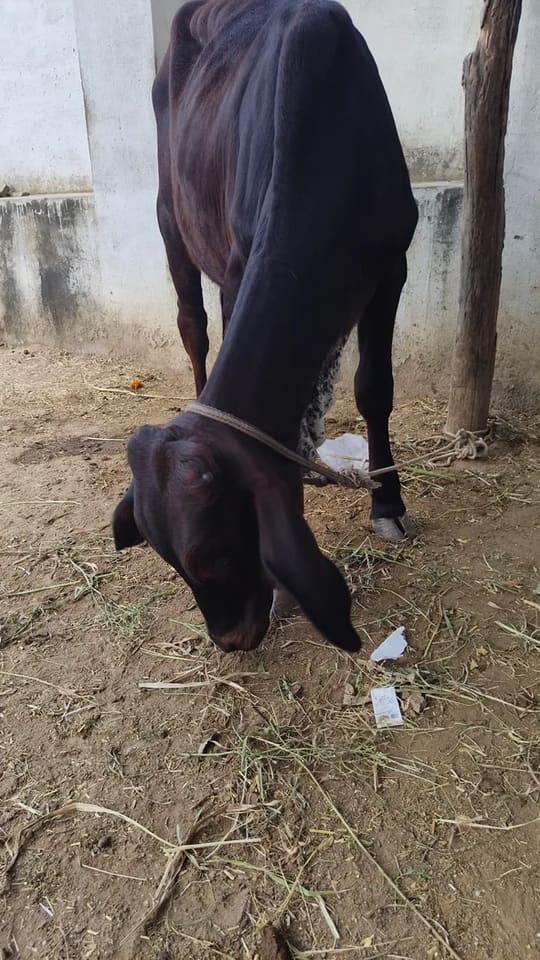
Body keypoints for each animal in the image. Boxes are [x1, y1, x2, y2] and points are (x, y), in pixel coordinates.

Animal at [113, 0, 418, 654]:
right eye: (169, 560)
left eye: (214, 557)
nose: (231, 639)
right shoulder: (236, 266)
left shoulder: (391, 266)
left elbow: (374, 389)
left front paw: (387, 503)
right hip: (169, 218)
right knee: (194, 328)